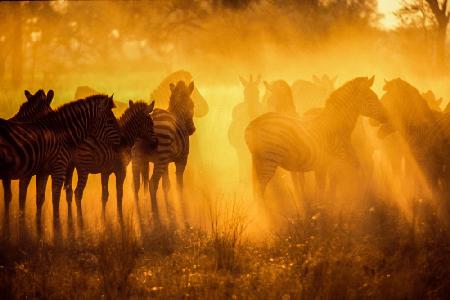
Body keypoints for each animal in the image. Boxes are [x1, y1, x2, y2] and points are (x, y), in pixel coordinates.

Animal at [134, 81, 197, 221]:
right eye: (192, 105)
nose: (192, 130)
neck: (178, 113)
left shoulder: (166, 162)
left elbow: (166, 185)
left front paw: (170, 212)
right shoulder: (182, 159)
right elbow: (179, 185)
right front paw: (182, 210)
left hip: (138, 159)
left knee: (135, 186)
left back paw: (139, 217)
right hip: (161, 158)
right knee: (152, 184)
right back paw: (156, 217)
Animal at [244, 76, 388, 205]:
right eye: (372, 98)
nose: (386, 117)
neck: (336, 126)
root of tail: (252, 124)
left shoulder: (323, 165)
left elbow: (324, 187)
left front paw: (321, 207)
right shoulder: (339, 160)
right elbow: (352, 178)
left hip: (257, 161)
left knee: (257, 190)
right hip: (268, 161)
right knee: (261, 190)